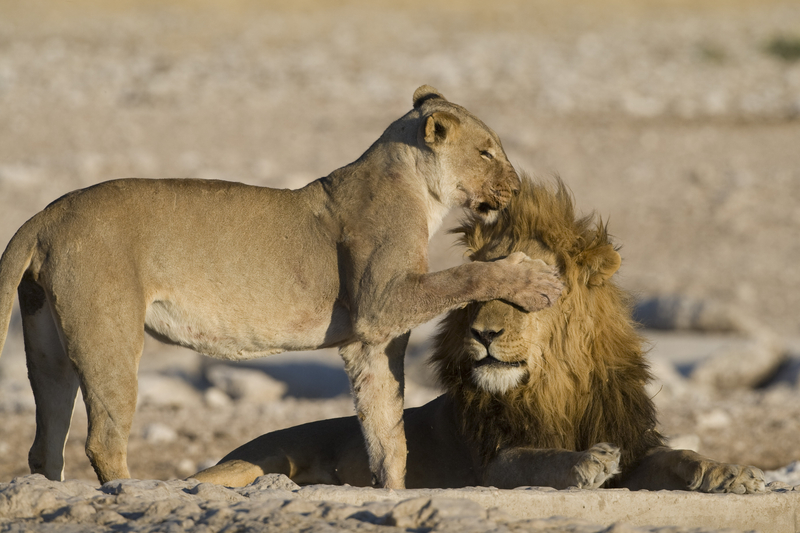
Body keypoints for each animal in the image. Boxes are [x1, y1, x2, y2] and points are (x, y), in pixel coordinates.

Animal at [0, 86, 564, 486]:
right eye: (487, 152)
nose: (516, 187)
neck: (417, 189)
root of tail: (46, 214)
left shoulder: (371, 341)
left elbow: (386, 435)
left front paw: (392, 491)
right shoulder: (382, 301)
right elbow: (466, 275)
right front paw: (534, 279)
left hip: (46, 343)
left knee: (45, 443)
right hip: (110, 335)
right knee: (102, 440)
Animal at [191, 177, 764, 492]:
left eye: (535, 289)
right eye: (480, 287)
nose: (485, 333)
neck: (556, 389)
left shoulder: (634, 443)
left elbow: (679, 456)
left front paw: (733, 473)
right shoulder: (490, 462)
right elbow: (534, 458)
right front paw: (586, 462)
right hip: (253, 462)